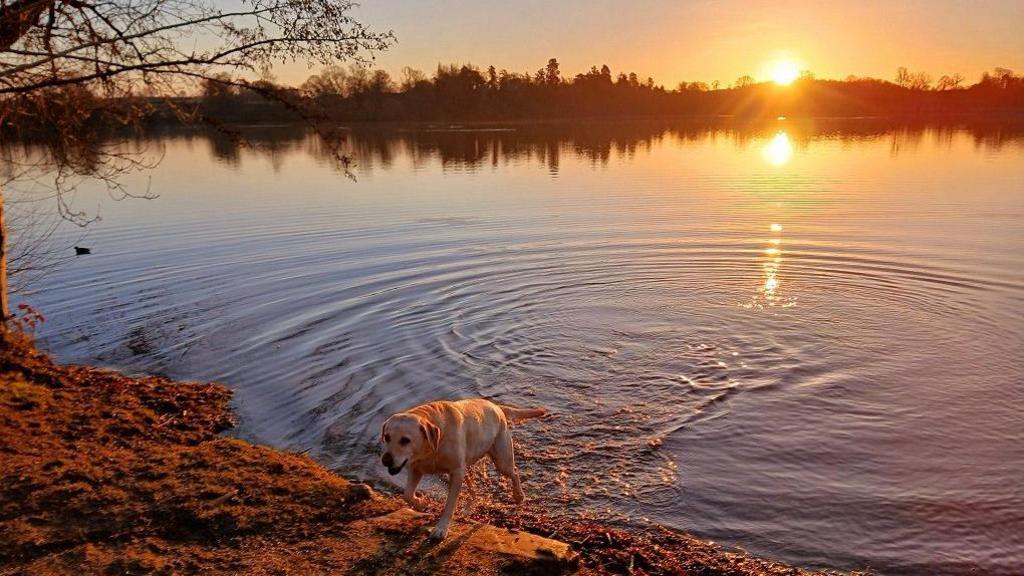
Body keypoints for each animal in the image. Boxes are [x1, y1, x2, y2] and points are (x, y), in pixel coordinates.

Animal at [380, 399, 548, 537]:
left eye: (405, 440)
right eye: (387, 437)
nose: (385, 460)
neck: (434, 443)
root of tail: (496, 406)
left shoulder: (456, 472)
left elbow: (450, 504)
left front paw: (441, 528)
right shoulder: (417, 468)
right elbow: (407, 494)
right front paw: (421, 503)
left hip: (502, 459)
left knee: (514, 472)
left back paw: (518, 495)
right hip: (469, 464)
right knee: (473, 487)